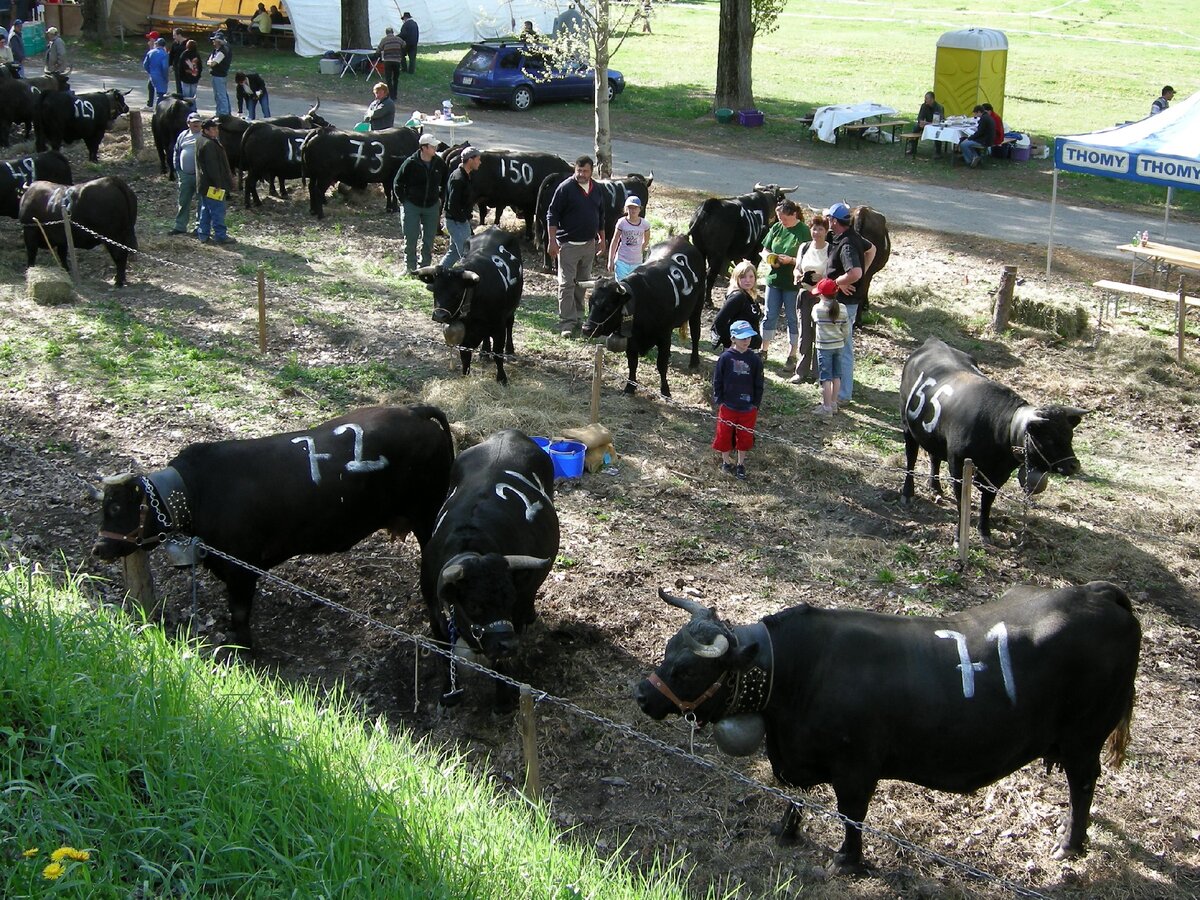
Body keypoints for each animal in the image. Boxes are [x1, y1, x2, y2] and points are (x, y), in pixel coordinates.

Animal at [415, 226, 523, 386]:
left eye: (457, 293)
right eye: (435, 290)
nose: (439, 315)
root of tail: (494, 228)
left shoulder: (498, 327)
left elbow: (498, 355)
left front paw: (502, 378)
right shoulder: (465, 334)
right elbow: (465, 357)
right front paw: (465, 377)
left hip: (512, 307)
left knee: (510, 324)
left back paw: (510, 350)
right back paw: (484, 352)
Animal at [420, 429, 559, 710]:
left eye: (510, 599)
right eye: (474, 605)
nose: (508, 645)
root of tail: (510, 433)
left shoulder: (516, 612)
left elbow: (500, 666)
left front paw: (504, 700)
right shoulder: (434, 614)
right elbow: (443, 653)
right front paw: (448, 694)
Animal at [578, 236, 700, 398]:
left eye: (608, 306)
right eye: (590, 302)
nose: (586, 328)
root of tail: (680, 238)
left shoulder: (664, 336)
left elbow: (661, 364)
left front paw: (665, 391)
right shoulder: (631, 340)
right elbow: (632, 363)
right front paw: (630, 387)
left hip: (698, 307)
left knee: (696, 333)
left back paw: (694, 362)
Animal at [638, 585, 1132, 873]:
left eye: (686, 670)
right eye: (667, 649)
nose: (642, 694)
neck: (799, 669)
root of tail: (1096, 592)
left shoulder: (857, 768)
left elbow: (851, 814)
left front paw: (848, 861)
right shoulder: (796, 758)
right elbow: (794, 799)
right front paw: (786, 832)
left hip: (1084, 739)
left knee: (1084, 784)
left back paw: (1070, 844)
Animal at [902, 336, 1089, 540]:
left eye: (1070, 435)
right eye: (1048, 438)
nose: (1074, 465)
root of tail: (934, 342)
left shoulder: (999, 475)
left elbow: (988, 501)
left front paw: (984, 530)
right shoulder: (958, 465)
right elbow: (961, 500)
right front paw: (960, 535)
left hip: (934, 436)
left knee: (934, 457)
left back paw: (935, 487)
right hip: (908, 428)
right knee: (911, 458)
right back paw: (908, 492)